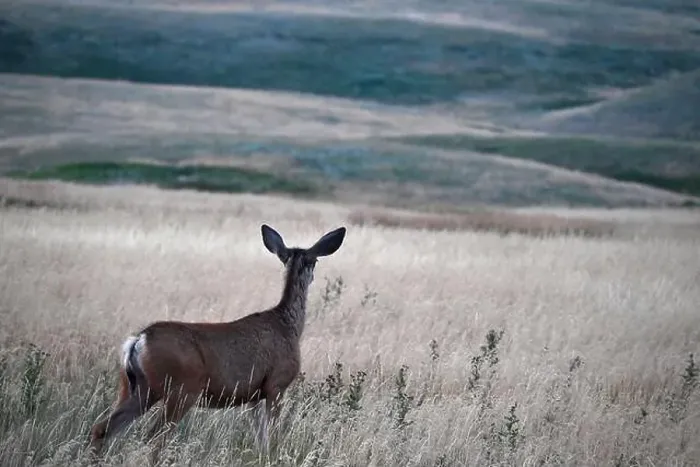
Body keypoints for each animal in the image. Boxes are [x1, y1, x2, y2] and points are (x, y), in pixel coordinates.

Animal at [88, 224, 347, 461]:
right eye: (315, 261)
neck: (287, 325)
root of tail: (138, 340)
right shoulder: (276, 384)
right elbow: (273, 438)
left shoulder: (254, 394)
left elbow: (260, 439)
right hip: (181, 389)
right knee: (153, 438)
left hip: (135, 388)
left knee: (102, 428)